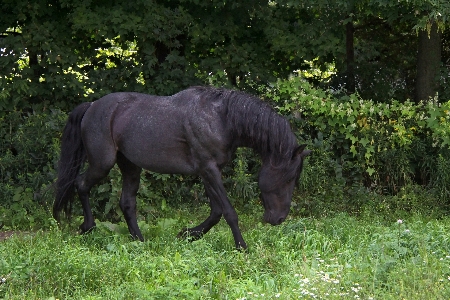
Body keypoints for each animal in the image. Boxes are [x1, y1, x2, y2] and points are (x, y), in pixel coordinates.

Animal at [53, 86, 310, 248]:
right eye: (289, 178)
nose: (279, 219)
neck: (221, 119)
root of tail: (92, 105)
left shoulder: (208, 171)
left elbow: (216, 212)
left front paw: (187, 234)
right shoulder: (209, 169)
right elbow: (228, 212)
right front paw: (242, 247)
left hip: (131, 166)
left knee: (126, 202)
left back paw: (139, 241)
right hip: (102, 163)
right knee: (81, 185)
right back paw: (88, 227)